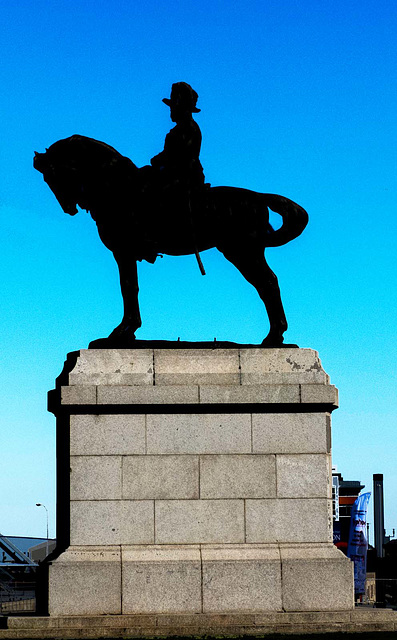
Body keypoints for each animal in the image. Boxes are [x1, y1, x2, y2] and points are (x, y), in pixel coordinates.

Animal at [33, 134, 306, 344]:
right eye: (47, 179)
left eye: (54, 175)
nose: (69, 208)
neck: (118, 190)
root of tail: (259, 197)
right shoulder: (124, 253)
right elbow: (129, 287)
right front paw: (127, 330)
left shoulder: (123, 251)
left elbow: (128, 287)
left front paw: (124, 331)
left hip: (243, 251)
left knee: (268, 283)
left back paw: (274, 337)